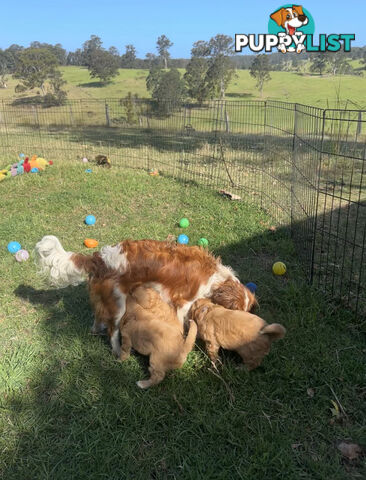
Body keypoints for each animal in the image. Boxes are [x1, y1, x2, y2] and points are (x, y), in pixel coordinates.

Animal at [35, 236, 258, 356]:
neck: (216, 278)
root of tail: (99, 258)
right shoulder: (182, 303)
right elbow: (182, 325)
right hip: (119, 304)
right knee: (112, 331)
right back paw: (118, 351)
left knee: (98, 317)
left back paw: (96, 330)